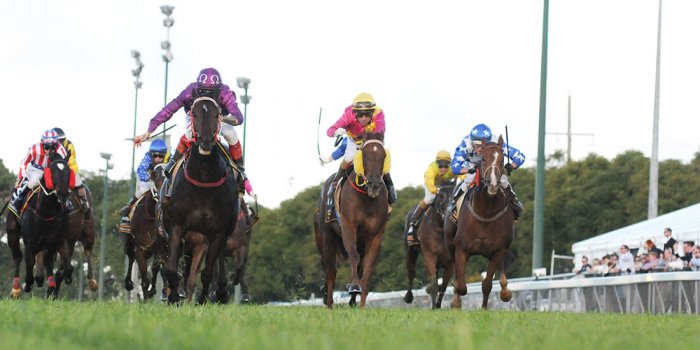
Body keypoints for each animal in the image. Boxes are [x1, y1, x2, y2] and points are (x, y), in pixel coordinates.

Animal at [123, 163, 167, 298]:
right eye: (154, 175)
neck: (151, 214)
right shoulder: (140, 248)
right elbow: (144, 279)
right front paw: (146, 295)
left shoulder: (158, 246)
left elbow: (156, 268)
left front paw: (153, 291)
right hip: (129, 243)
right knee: (130, 257)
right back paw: (128, 283)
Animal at [162, 95, 241, 304]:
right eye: (195, 113)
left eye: (216, 114)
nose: (205, 142)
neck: (203, 179)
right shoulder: (176, 226)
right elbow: (172, 270)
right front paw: (174, 297)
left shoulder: (216, 232)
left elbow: (206, 273)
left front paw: (203, 299)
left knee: (218, 260)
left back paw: (220, 290)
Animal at [314, 133, 392, 308]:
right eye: (364, 154)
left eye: (383, 155)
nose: (374, 184)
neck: (366, 199)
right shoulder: (348, 226)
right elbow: (354, 256)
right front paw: (354, 286)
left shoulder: (375, 236)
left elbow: (368, 267)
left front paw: (361, 303)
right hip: (327, 237)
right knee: (331, 271)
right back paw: (329, 303)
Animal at [448, 136, 516, 308]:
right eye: (483, 159)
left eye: (502, 159)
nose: (493, 182)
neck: (486, 212)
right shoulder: (461, 249)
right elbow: (461, 285)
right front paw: (456, 300)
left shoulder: (497, 251)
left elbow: (486, 284)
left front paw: (484, 309)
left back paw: (505, 291)